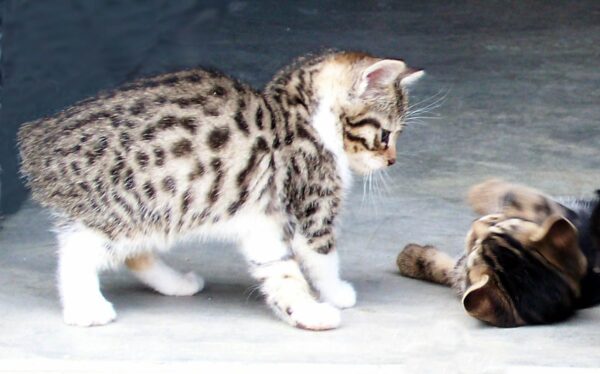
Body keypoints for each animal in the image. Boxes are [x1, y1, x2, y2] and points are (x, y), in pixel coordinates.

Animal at [17, 50, 422, 330]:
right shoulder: (310, 204)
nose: (392, 161)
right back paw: (85, 307)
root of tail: (37, 142)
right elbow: (321, 258)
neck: (304, 118)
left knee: (132, 253)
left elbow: (278, 271)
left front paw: (304, 311)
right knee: (76, 251)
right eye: (385, 134)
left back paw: (176, 284)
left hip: (157, 210)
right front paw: (336, 294)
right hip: (131, 205)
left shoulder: (264, 224)